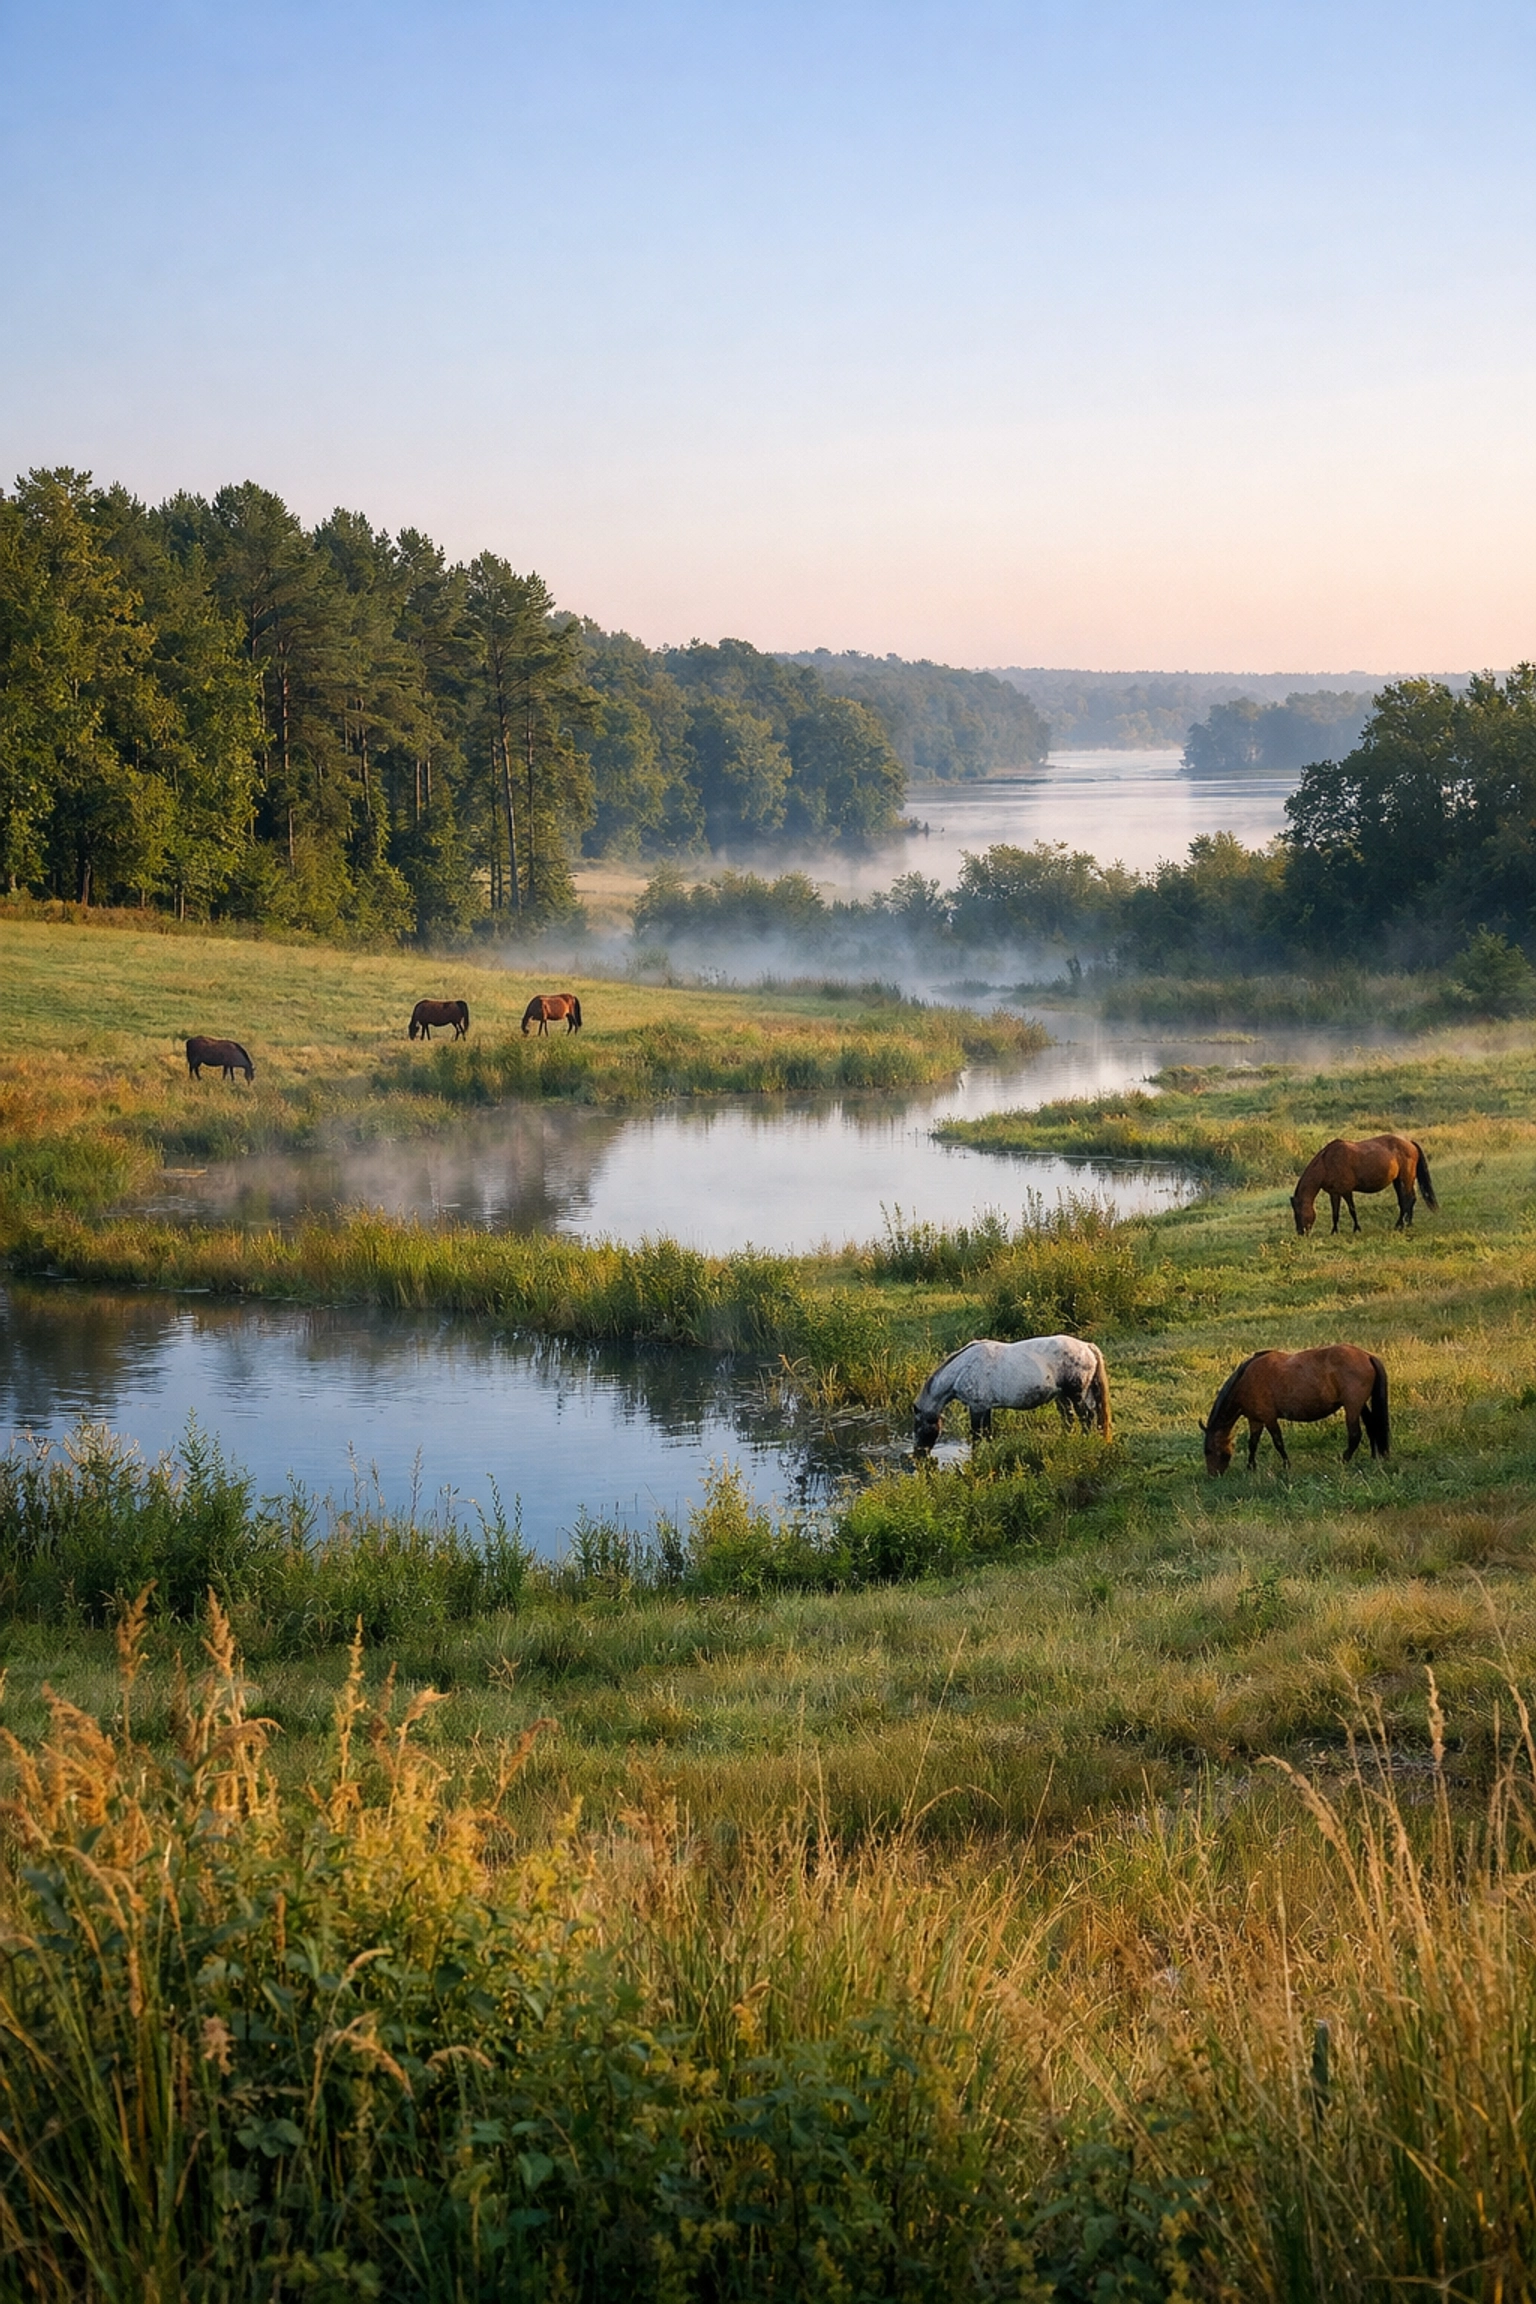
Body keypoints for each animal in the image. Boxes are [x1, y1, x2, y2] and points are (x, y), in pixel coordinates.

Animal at [913, 1335, 1112, 1454]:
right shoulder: (985, 1407)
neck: (963, 1369)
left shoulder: (976, 1408)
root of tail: (1087, 1346)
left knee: (1086, 1417)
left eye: (918, 1427)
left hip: (1076, 1394)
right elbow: (987, 1434)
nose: (919, 1455)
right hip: (1064, 1396)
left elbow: (977, 1437)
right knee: (1070, 1419)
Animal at [1202, 1345, 1389, 1474]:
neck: (1245, 1381)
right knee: (1372, 1426)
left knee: (1355, 1435)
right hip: (1360, 1405)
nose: (1214, 1475)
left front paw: (1286, 1465)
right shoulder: (1255, 1420)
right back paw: (1374, 1458)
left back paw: (1343, 1460)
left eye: (1208, 1451)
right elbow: (1252, 1443)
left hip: (1352, 1407)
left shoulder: (1269, 1419)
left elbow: (1278, 1442)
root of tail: (1367, 1356)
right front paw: (1250, 1467)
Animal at [1291, 1134, 1437, 1234]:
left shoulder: (1346, 1192)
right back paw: (1407, 1224)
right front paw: (1334, 1232)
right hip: (1398, 1181)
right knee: (1406, 1201)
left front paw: (1356, 1229)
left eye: (1298, 1212)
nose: (1300, 1233)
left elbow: (1352, 1210)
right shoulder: (1334, 1193)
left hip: (1405, 1179)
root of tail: (1410, 1143)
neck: (1326, 1163)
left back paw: (1401, 1225)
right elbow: (1335, 1214)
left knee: (1408, 1200)